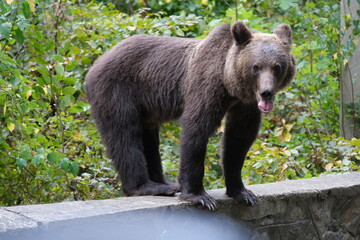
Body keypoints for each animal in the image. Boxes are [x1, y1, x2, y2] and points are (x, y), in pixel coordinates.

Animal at [85, 21, 296, 211]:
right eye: (256, 66)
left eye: (277, 66)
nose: (266, 92)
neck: (229, 84)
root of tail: (97, 62)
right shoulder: (206, 86)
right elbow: (196, 129)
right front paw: (199, 196)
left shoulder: (245, 105)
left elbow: (239, 140)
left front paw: (242, 192)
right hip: (118, 90)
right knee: (125, 135)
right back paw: (147, 186)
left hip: (146, 108)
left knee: (149, 139)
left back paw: (166, 183)